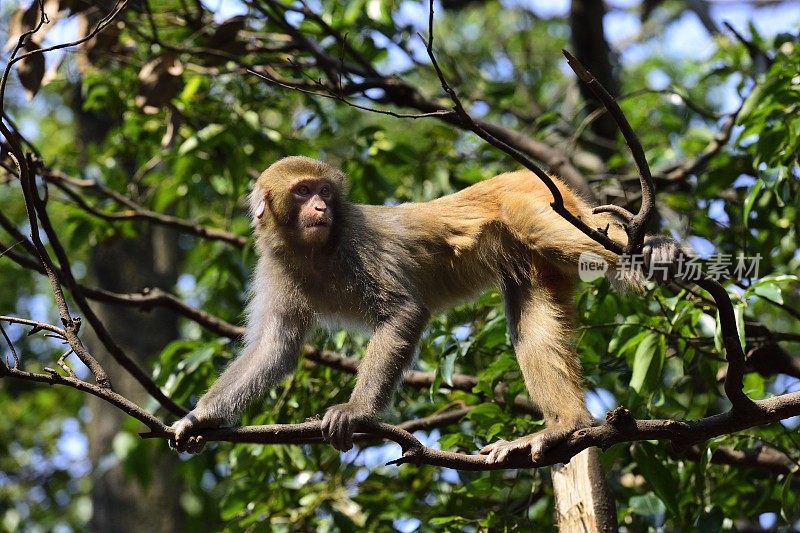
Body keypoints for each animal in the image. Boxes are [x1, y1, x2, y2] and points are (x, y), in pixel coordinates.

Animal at [170, 155, 680, 462]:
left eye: (324, 193)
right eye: (301, 192)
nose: (320, 207)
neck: (317, 250)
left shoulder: (357, 245)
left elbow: (403, 313)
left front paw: (357, 412)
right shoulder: (276, 265)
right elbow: (275, 348)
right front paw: (200, 418)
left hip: (545, 204)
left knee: (529, 219)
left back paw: (648, 251)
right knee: (532, 328)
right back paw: (564, 425)